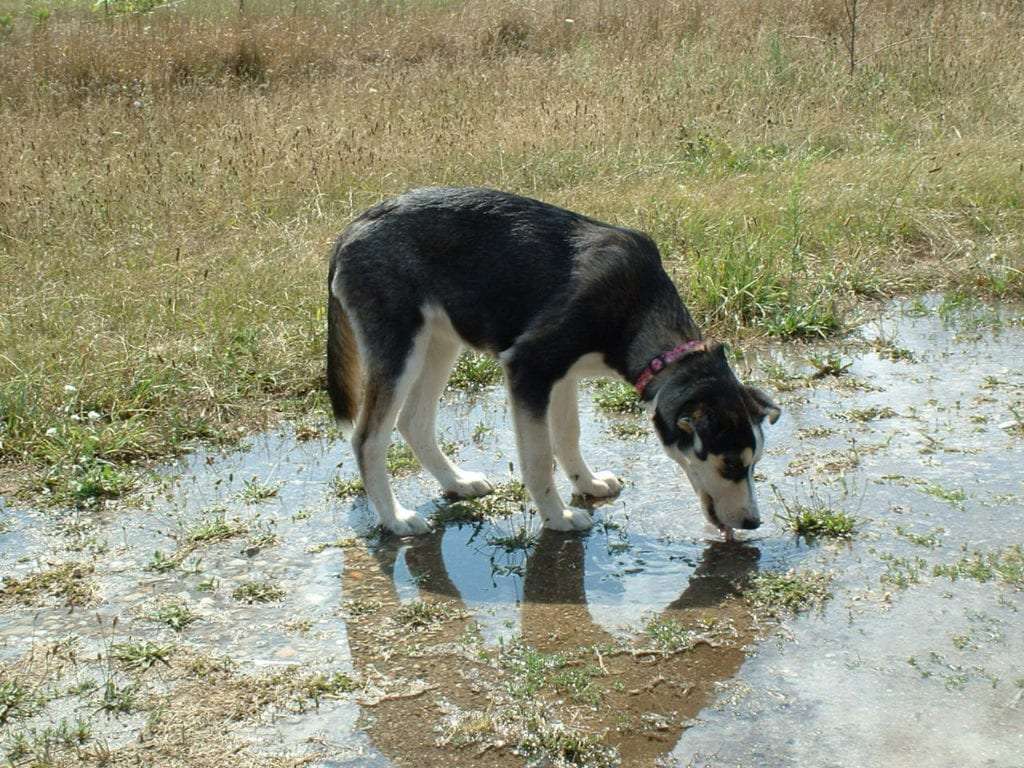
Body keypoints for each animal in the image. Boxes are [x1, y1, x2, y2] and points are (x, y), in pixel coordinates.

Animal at [323, 187, 778, 536]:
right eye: (731, 464)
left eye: (753, 464)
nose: (754, 523)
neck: (636, 307)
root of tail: (352, 229)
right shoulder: (528, 367)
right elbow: (539, 458)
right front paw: (557, 517)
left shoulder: (561, 376)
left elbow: (568, 436)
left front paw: (587, 483)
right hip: (401, 349)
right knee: (368, 439)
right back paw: (396, 520)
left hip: (439, 342)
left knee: (414, 422)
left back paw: (456, 482)